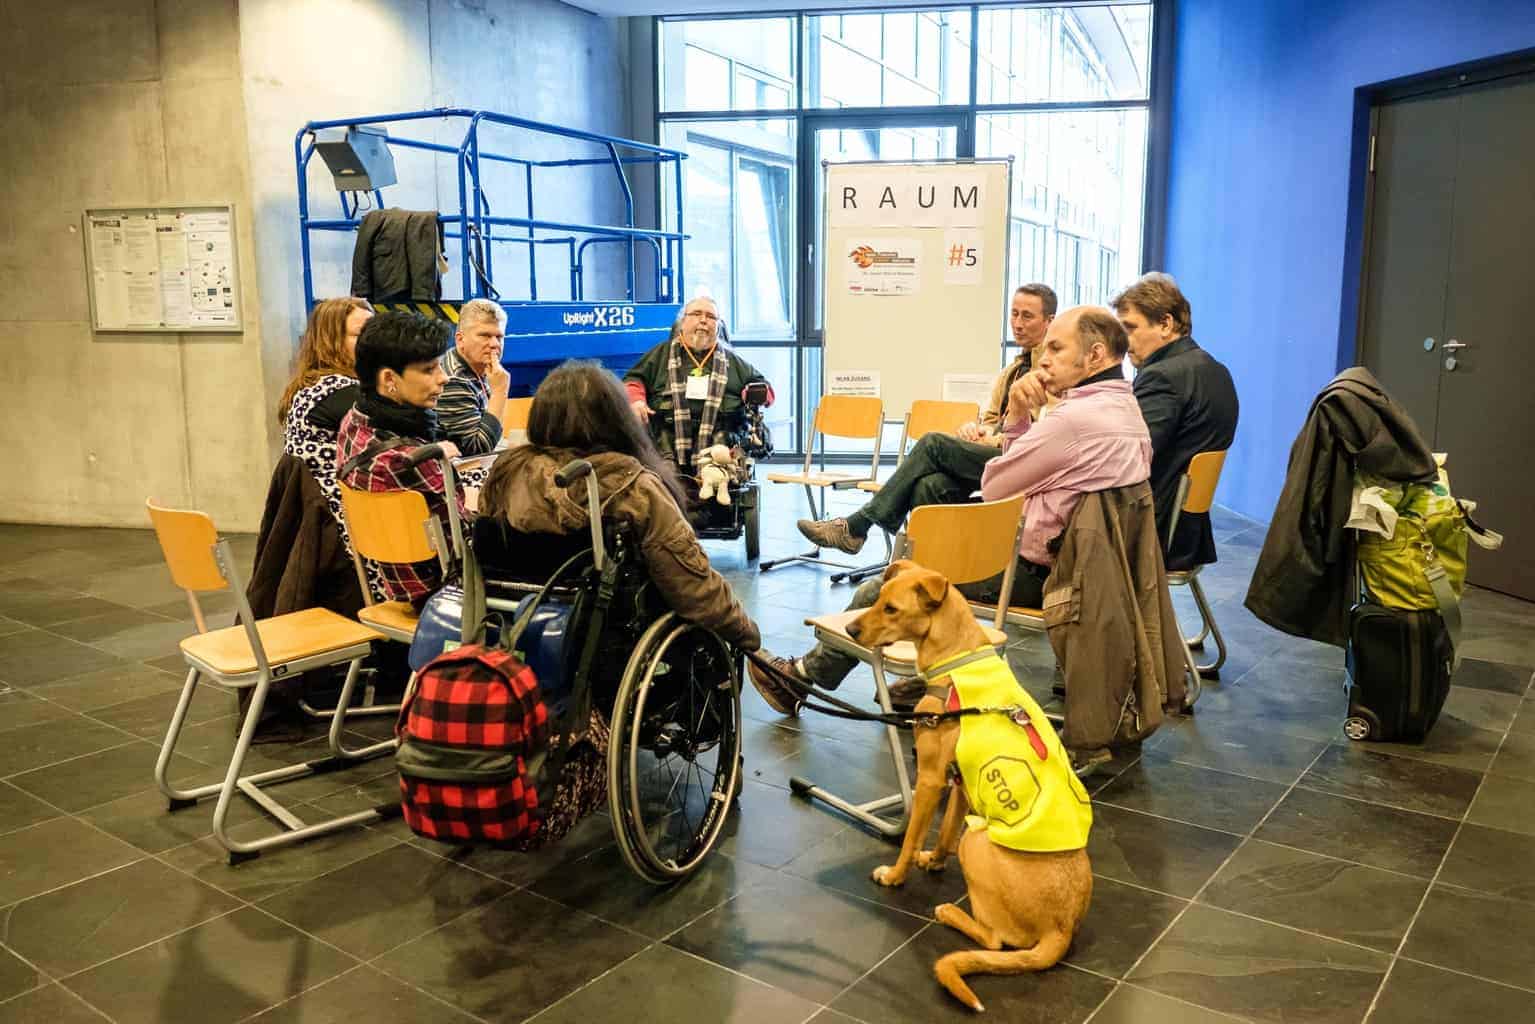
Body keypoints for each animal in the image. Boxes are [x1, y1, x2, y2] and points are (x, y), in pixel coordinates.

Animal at [853, 564, 1092, 1013]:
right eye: (879, 600)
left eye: (891, 608)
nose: (852, 629)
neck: (958, 659)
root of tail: (1062, 929)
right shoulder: (959, 780)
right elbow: (945, 829)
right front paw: (933, 860)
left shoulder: (929, 778)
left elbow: (910, 837)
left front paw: (895, 875)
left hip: (977, 843)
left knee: (995, 941)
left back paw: (949, 911)